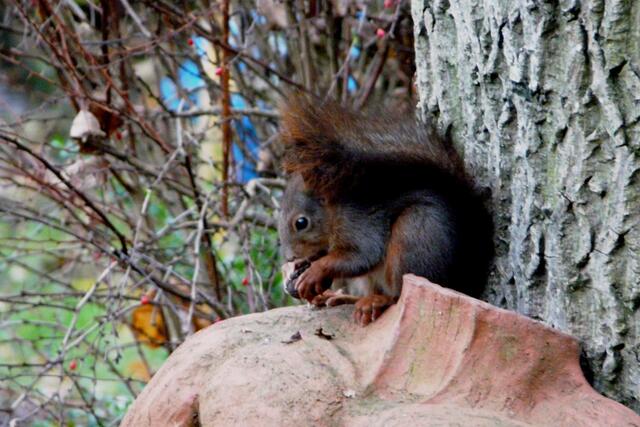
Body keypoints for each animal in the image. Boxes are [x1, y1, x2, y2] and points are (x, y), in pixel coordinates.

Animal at [277, 95, 493, 326]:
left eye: (301, 223)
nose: (290, 257)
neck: (333, 212)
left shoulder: (359, 222)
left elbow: (362, 256)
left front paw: (315, 271)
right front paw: (294, 271)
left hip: (414, 239)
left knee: (400, 294)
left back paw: (378, 301)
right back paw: (345, 297)